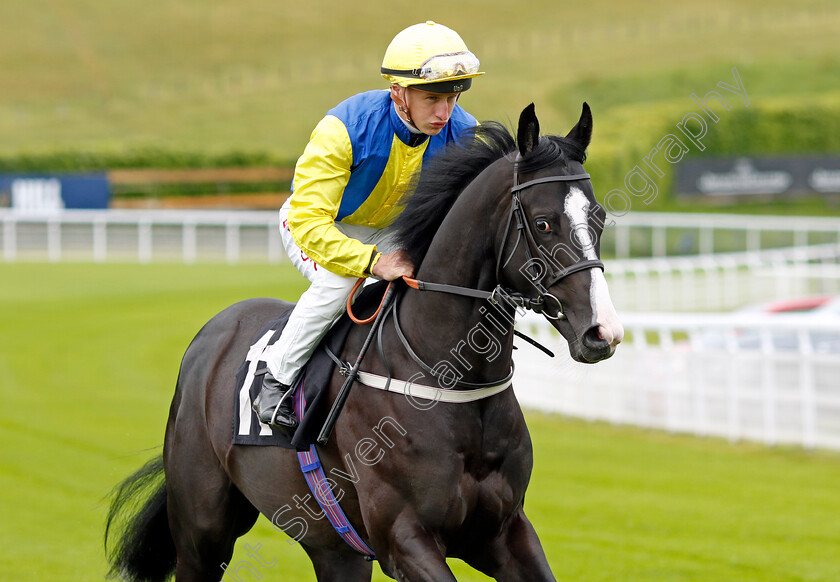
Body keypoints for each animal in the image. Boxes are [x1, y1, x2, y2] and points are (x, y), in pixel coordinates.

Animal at [105, 105, 624, 582]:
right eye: (543, 223)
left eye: (599, 217)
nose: (602, 332)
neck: (445, 380)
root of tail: (212, 333)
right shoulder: (403, 537)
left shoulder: (504, 532)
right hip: (203, 529)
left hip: (335, 548)